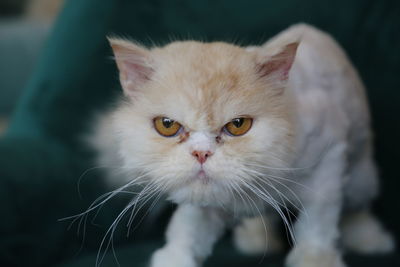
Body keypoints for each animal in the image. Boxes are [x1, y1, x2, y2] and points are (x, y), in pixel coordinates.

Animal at [93, 24, 394, 266]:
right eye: (167, 125)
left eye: (238, 125)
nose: (201, 153)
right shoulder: (199, 205)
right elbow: (186, 232)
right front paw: (174, 258)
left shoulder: (329, 162)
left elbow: (317, 224)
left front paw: (315, 259)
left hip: (359, 175)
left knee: (357, 209)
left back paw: (373, 241)